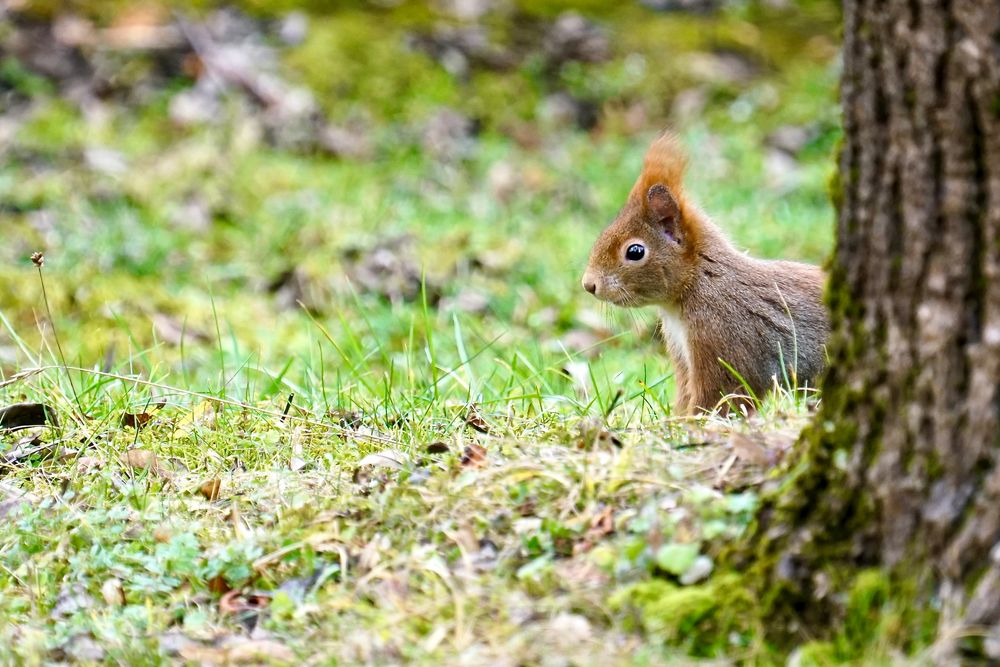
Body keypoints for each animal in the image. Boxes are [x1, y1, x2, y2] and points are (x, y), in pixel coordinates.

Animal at [580, 133, 828, 414]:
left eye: (635, 251)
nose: (589, 284)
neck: (700, 282)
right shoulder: (683, 355)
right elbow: (685, 394)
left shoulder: (722, 336)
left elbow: (720, 396)